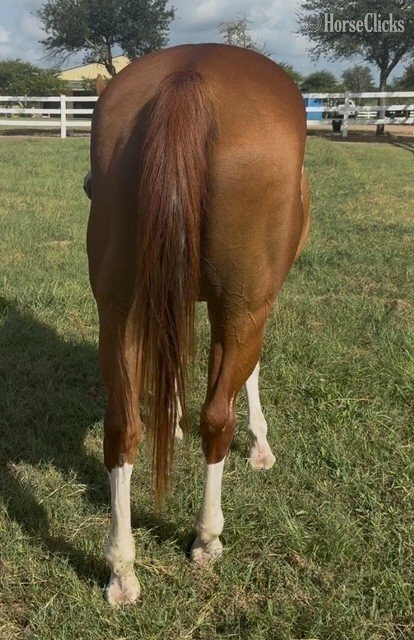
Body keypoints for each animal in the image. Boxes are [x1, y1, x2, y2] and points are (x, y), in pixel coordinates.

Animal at [86, 43, 310, 606]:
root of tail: (190, 73)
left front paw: (172, 419)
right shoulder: (248, 306)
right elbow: (245, 377)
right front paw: (260, 445)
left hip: (118, 308)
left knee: (122, 426)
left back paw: (122, 569)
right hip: (243, 306)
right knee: (217, 419)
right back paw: (207, 538)